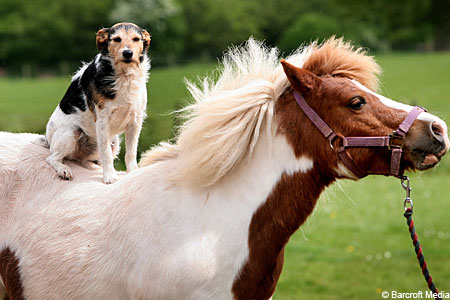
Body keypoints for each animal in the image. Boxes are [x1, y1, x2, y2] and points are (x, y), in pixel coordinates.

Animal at [45, 22, 151, 184]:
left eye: (136, 39)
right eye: (117, 39)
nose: (128, 53)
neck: (124, 76)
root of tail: (46, 139)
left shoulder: (136, 121)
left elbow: (131, 152)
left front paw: (132, 172)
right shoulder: (102, 120)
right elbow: (106, 153)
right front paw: (109, 177)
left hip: (114, 142)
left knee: (84, 160)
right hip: (70, 134)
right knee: (52, 158)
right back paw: (64, 170)